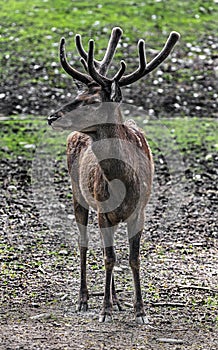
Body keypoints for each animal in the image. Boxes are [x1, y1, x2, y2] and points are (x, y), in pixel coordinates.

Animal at [48, 26, 180, 324]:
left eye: (94, 102)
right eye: (78, 97)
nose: (52, 117)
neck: (124, 183)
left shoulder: (139, 211)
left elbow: (132, 258)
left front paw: (140, 310)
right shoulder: (102, 210)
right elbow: (109, 257)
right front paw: (104, 310)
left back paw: (118, 299)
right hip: (78, 194)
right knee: (84, 244)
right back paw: (85, 299)